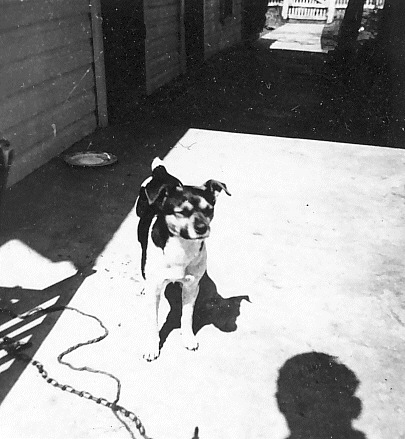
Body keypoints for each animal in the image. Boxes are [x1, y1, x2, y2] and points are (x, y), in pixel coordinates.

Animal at [137, 160, 229, 362]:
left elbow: (187, 316)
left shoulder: (192, 287)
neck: (181, 246)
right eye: (181, 212)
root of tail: (161, 173)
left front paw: (188, 338)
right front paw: (151, 346)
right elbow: (153, 322)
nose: (202, 228)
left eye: (208, 210)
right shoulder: (155, 290)